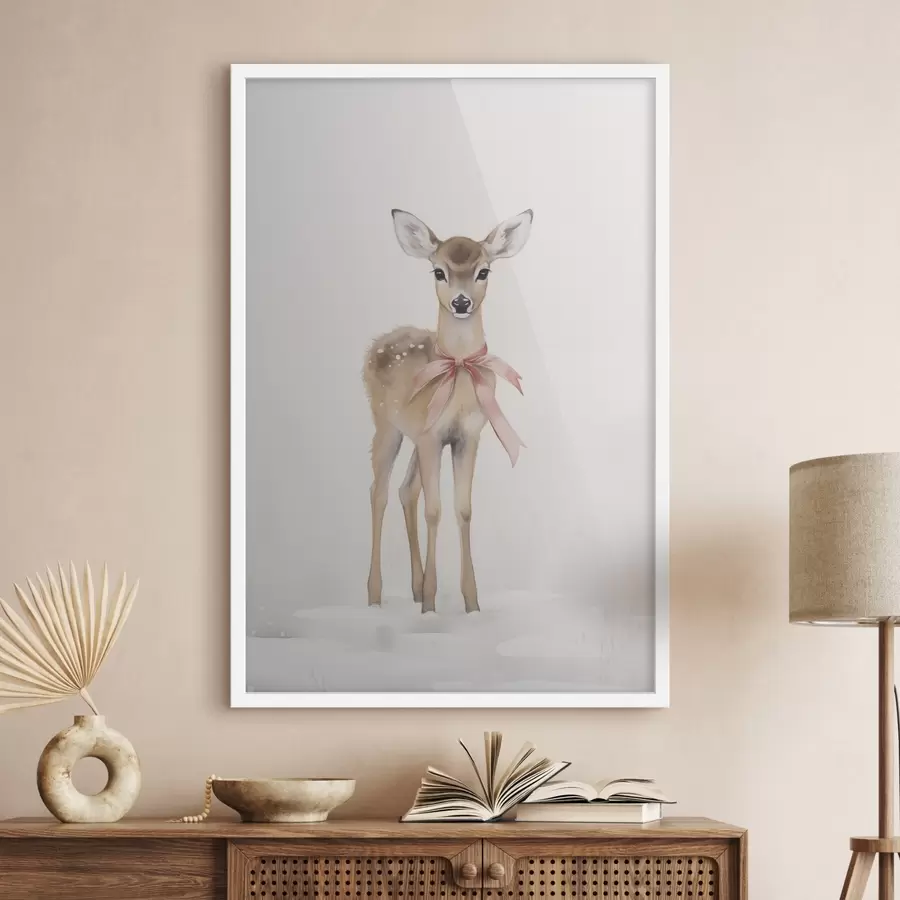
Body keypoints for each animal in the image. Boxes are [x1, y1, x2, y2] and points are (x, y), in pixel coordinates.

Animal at [363, 208, 533, 614]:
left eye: (484, 271)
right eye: (438, 271)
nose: (460, 302)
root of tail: (374, 346)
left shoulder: (464, 435)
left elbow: (463, 508)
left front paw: (471, 603)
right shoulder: (431, 436)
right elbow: (434, 510)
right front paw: (430, 606)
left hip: (415, 435)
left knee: (405, 490)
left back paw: (413, 589)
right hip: (386, 424)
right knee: (379, 491)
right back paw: (375, 596)